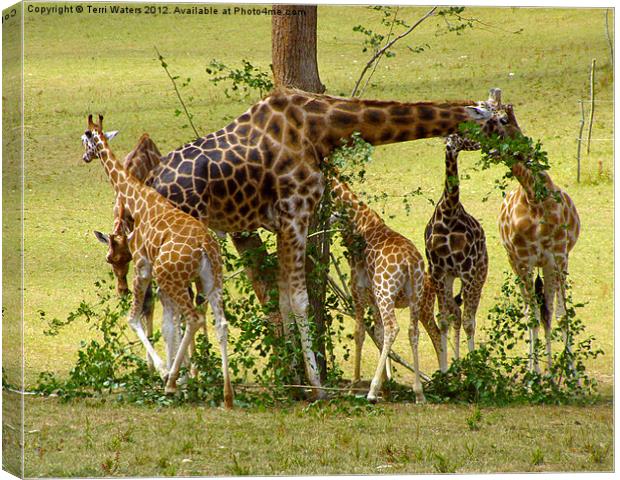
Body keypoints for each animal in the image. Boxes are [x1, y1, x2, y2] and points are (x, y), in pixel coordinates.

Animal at [82, 114, 232, 406]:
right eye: (110, 259)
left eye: (84, 138)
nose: (84, 157)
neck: (138, 200)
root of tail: (206, 248)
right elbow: (165, 323)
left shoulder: (143, 267)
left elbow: (135, 317)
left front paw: (164, 371)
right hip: (212, 280)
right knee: (220, 323)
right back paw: (225, 394)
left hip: (171, 275)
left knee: (193, 317)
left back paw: (174, 381)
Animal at [330, 178, 440, 404]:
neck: (360, 222)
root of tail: (409, 263)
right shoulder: (373, 299)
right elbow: (377, 333)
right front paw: (387, 388)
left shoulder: (358, 292)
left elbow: (360, 333)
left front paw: (354, 387)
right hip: (414, 296)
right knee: (413, 331)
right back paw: (419, 392)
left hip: (386, 292)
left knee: (393, 328)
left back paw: (371, 391)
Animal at [494, 107, 580, 374]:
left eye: (503, 119)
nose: (523, 147)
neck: (535, 198)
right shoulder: (524, 261)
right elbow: (532, 316)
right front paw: (535, 374)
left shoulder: (559, 257)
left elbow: (560, 315)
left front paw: (567, 374)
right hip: (515, 263)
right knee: (530, 311)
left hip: (549, 265)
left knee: (547, 312)